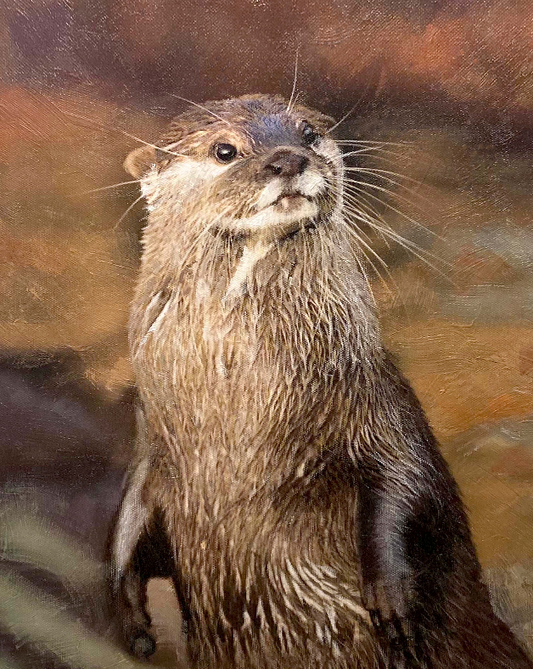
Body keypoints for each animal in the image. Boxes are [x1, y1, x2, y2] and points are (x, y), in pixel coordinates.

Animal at [108, 95, 532, 668]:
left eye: (308, 133)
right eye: (224, 150)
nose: (288, 158)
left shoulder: (377, 406)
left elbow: (405, 477)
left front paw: (391, 595)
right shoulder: (152, 441)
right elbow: (129, 515)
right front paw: (129, 612)